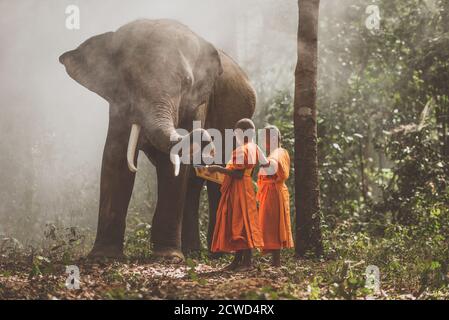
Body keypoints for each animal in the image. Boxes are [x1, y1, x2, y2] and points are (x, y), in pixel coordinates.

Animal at [58, 18, 256, 262]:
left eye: (187, 82)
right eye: (128, 78)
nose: (206, 136)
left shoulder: (197, 104)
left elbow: (171, 165)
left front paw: (168, 257)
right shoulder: (118, 104)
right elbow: (116, 158)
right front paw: (103, 257)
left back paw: (217, 254)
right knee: (194, 183)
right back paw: (193, 251)